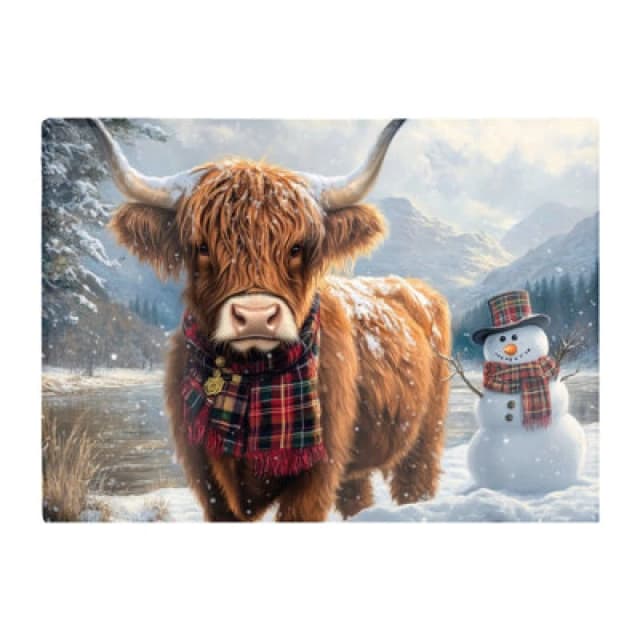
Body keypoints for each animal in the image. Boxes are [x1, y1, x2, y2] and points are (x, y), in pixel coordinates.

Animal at [90, 119, 451, 521]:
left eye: (296, 248)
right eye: (202, 247)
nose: (256, 316)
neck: (252, 382)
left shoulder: (317, 471)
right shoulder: (206, 476)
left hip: (425, 437)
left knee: (415, 482)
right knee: (358, 495)